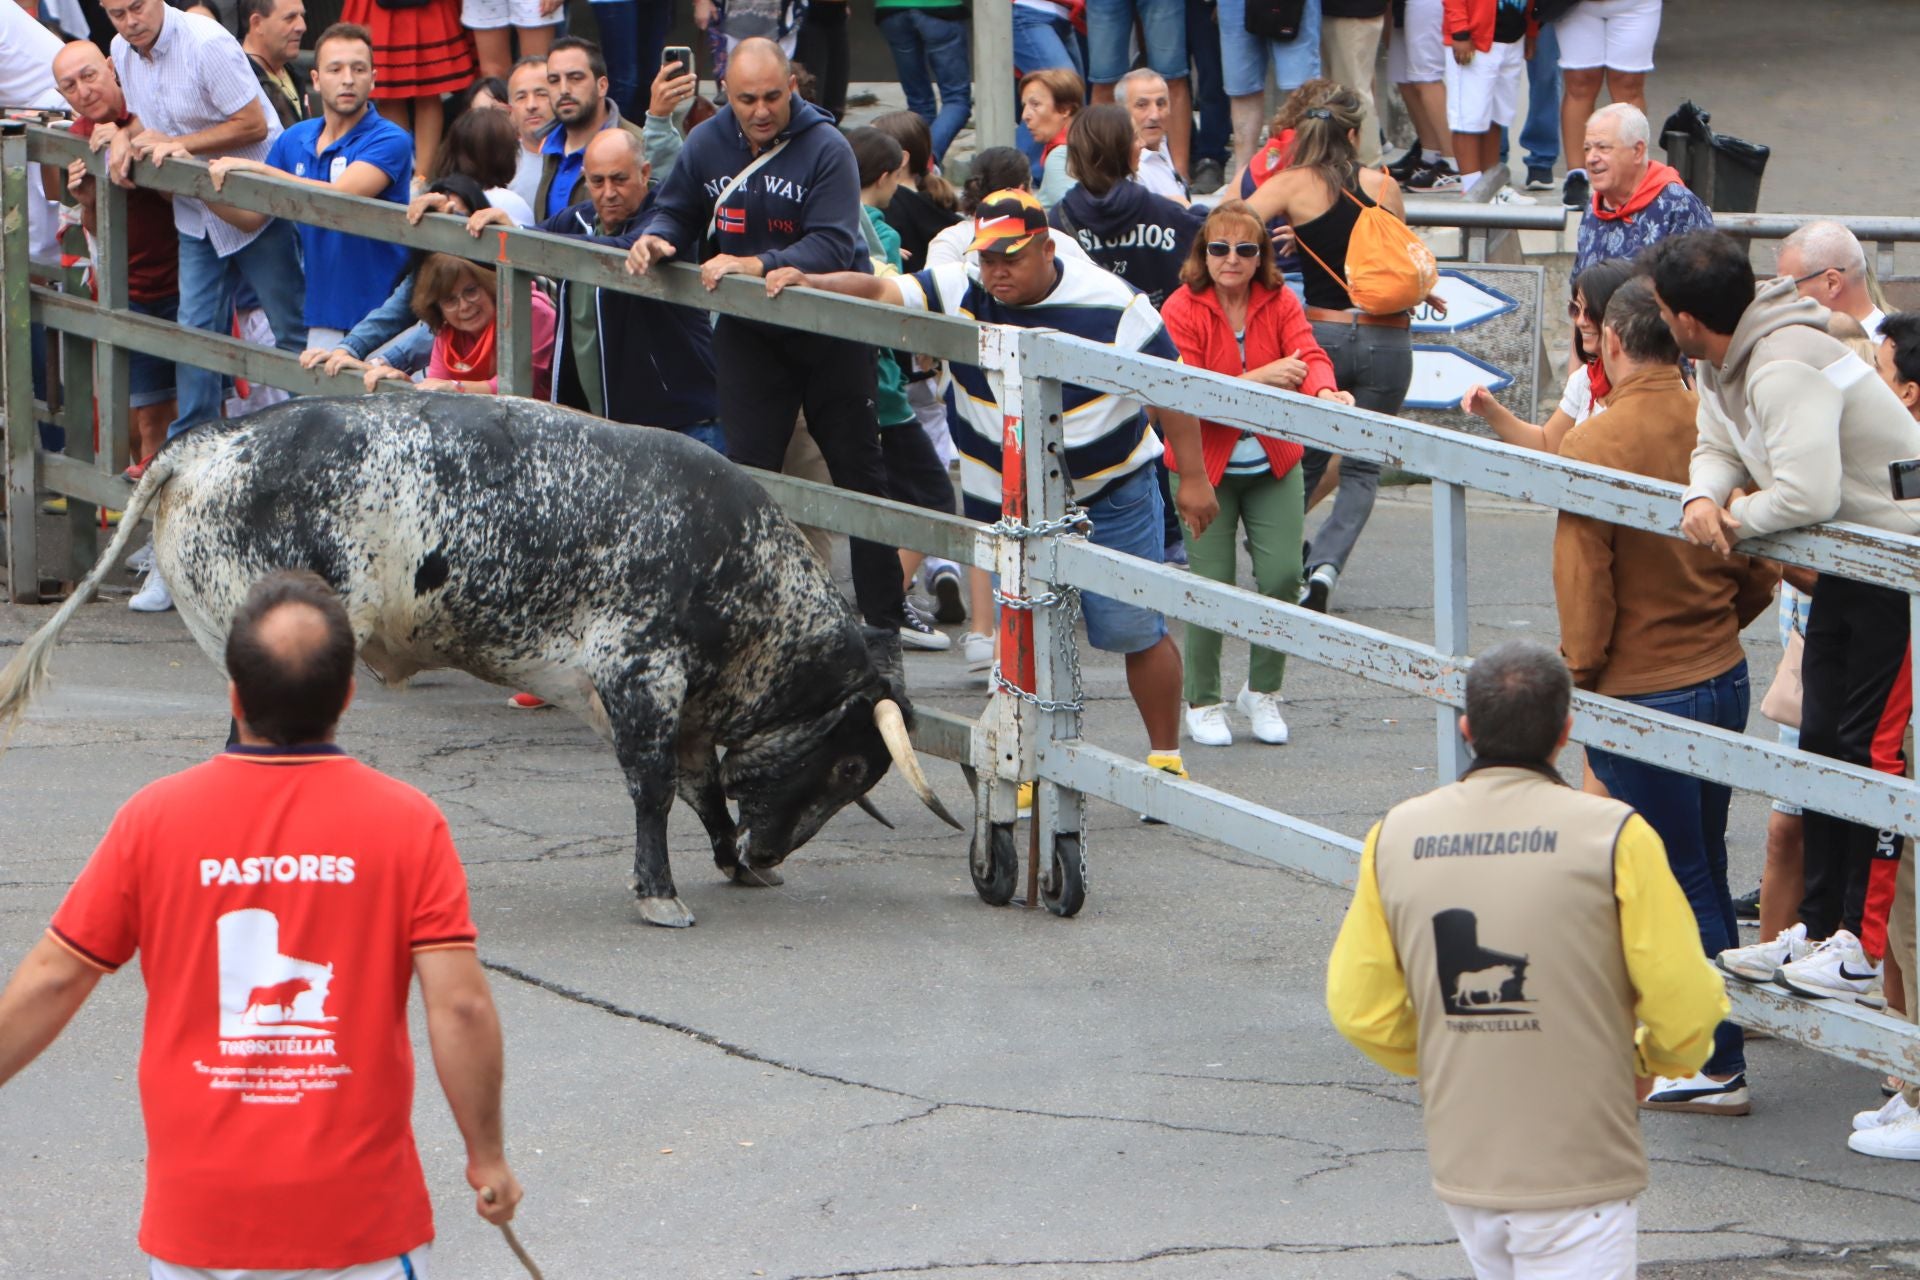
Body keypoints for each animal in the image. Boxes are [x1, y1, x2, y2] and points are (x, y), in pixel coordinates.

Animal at [0, 395, 960, 924]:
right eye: (847, 765)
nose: (771, 853)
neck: (738, 564)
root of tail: (206, 443)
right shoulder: (641, 674)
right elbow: (655, 790)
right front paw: (660, 893)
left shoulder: (674, 703)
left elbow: (700, 787)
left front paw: (726, 861)